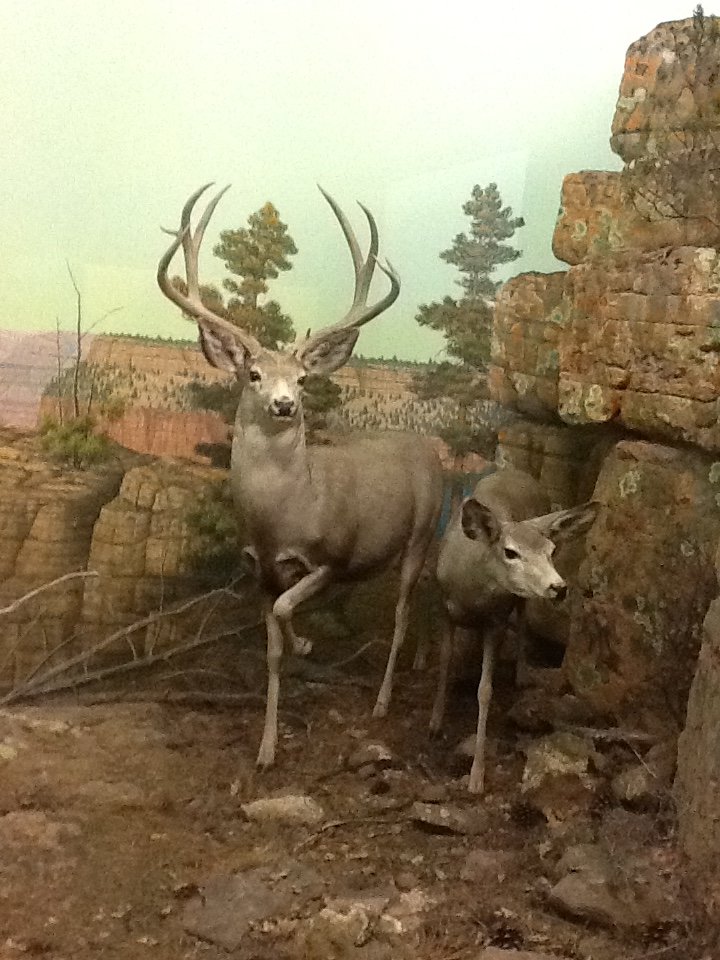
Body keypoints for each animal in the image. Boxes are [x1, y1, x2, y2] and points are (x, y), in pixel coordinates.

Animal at [157, 183, 443, 768]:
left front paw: (307, 644)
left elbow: (290, 608)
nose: (285, 404)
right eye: (253, 373)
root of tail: (430, 451)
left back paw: (383, 700)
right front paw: (266, 748)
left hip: (423, 529)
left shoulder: (331, 557)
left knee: (401, 613)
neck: (281, 516)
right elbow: (269, 648)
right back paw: (422, 660)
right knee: (421, 599)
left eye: (304, 378)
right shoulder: (259, 569)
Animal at [429, 465, 598, 794]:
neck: (472, 592)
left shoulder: (496, 620)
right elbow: (444, 664)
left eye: (551, 550)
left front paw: (477, 776)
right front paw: (435, 722)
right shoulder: (445, 610)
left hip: (519, 600)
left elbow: (486, 690)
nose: (558, 587)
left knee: (523, 619)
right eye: (510, 552)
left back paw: (521, 672)